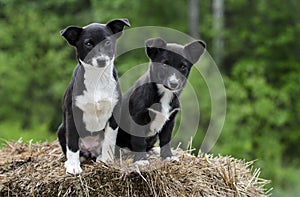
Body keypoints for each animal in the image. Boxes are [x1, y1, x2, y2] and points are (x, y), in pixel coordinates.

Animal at [57, 17, 130, 173]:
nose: (101, 60)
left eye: (107, 42)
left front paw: (107, 161)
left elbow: (109, 140)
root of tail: (91, 151)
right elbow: (72, 143)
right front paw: (73, 166)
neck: (97, 79)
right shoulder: (72, 114)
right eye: (88, 44)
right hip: (61, 129)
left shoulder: (115, 114)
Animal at [116, 37, 205, 165]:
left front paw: (167, 156)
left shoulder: (170, 120)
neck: (165, 94)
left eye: (183, 67)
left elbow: (166, 140)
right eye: (163, 65)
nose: (174, 83)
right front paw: (141, 160)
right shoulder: (138, 118)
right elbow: (139, 141)